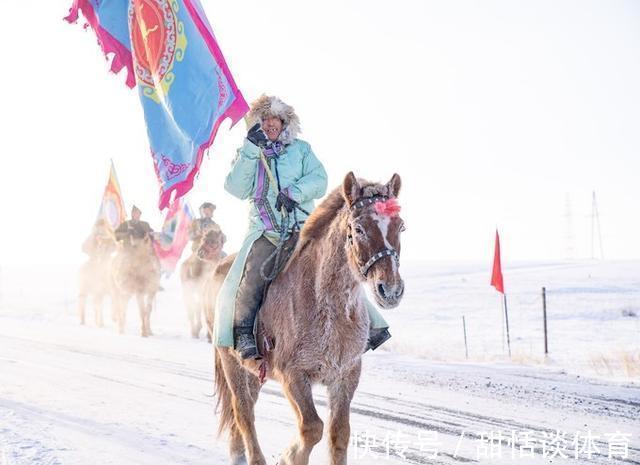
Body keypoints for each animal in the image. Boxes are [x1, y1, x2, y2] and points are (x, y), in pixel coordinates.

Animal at [210, 172, 402, 464]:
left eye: (401, 226)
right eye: (358, 228)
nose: (390, 290)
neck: (327, 306)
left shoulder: (346, 375)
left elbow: (338, 434)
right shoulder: (293, 376)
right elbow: (312, 427)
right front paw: (288, 456)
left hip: (252, 372)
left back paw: (238, 453)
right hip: (232, 363)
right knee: (243, 412)